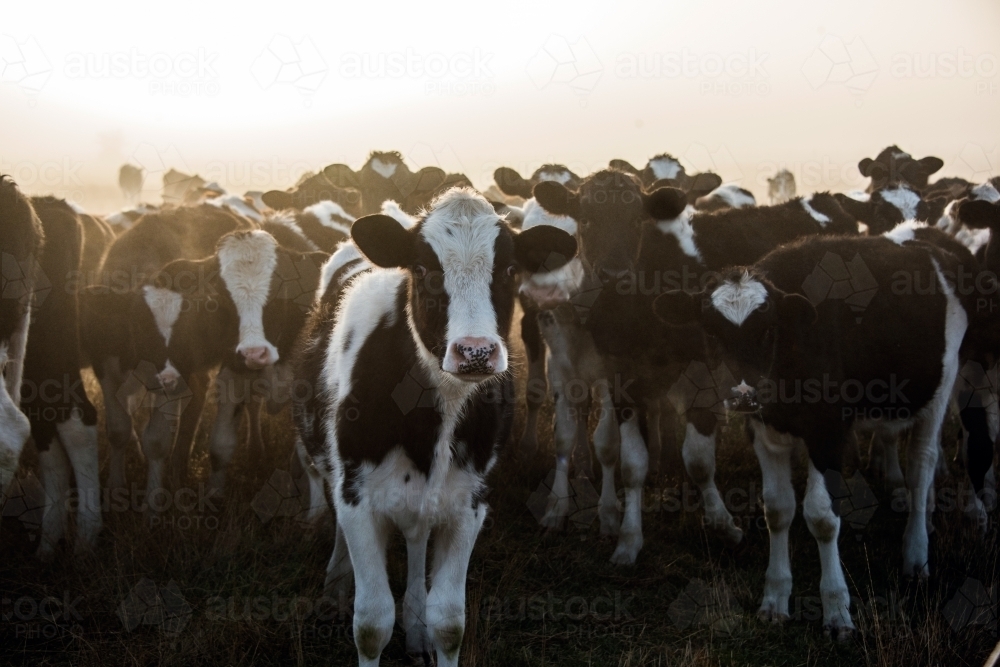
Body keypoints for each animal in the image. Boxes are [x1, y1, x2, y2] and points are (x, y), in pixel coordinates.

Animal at [303, 188, 576, 666]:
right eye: (422, 269)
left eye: (509, 270)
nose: (475, 352)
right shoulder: (357, 496)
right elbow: (371, 623)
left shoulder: (469, 499)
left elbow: (448, 622)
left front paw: (428, 632)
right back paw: (337, 580)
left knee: (417, 541)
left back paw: (415, 627)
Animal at [533, 170, 859, 564]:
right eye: (586, 220)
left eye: (636, 221)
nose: (613, 272)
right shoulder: (621, 379)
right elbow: (632, 463)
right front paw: (629, 540)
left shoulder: (704, 375)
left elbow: (699, 459)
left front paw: (724, 525)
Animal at [652, 232, 976, 639]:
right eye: (712, 332)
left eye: (769, 331)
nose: (742, 394)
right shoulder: (764, 430)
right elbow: (778, 509)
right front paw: (775, 597)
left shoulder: (828, 433)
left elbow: (821, 516)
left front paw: (836, 608)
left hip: (938, 389)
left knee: (922, 465)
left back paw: (916, 554)